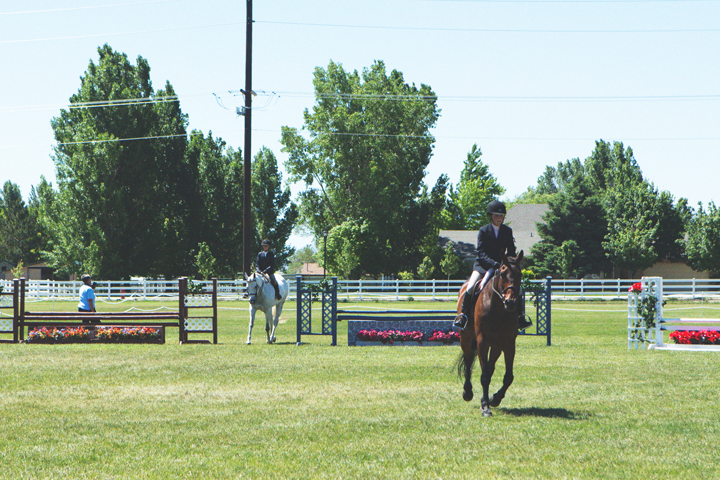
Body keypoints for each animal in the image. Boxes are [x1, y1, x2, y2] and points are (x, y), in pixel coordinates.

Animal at [456, 251, 524, 416]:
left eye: (519, 274)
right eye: (503, 274)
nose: (510, 302)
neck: (499, 308)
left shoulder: (508, 343)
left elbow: (508, 377)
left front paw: (494, 399)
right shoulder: (482, 342)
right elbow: (485, 376)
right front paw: (485, 406)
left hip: (496, 345)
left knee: (490, 366)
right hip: (466, 338)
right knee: (468, 362)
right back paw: (467, 393)